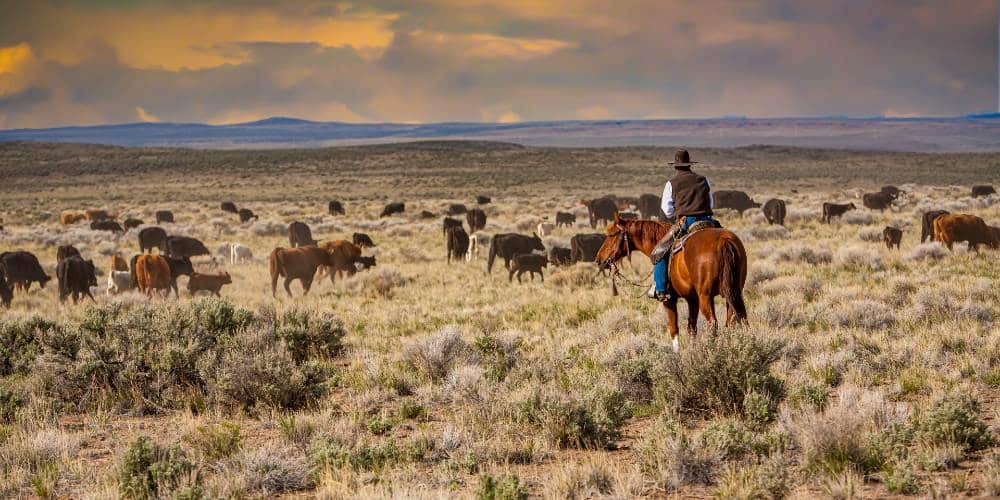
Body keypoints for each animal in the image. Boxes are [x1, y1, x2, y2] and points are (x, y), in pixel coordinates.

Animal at [596, 215, 748, 352]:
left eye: (612, 235)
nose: (599, 259)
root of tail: (724, 242)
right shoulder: (692, 299)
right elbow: (691, 328)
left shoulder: (669, 300)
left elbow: (673, 329)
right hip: (732, 294)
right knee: (735, 320)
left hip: (706, 297)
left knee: (713, 324)